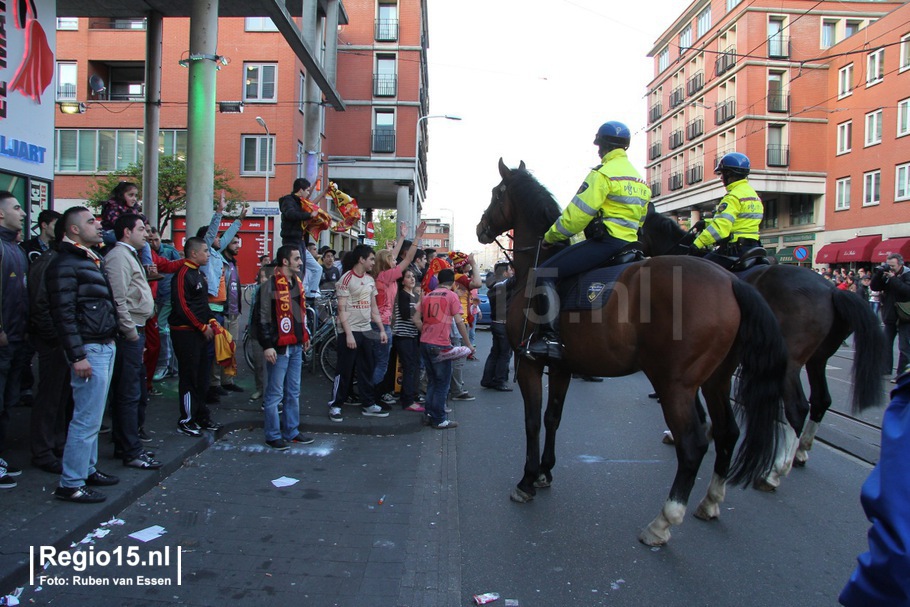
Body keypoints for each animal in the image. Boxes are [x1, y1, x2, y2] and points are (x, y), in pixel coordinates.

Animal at [478, 160, 792, 548]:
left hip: (674, 385)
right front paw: (545, 472)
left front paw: (527, 479)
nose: (480, 227)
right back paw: (710, 501)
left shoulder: (529, 363)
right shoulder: (562, 365)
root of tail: (732, 281)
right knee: (727, 433)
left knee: (693, 445)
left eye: (496, 193)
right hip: (716, 380)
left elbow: (533, 421)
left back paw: (663, 522)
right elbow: (553, 418)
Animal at [636, 209, 888, 490]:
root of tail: (831, 289)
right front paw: (711, 430)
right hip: (817, 359)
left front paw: (693, 428)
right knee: (821, 400)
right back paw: (801, 452)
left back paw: (774, 472)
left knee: (798, 408)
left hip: (791, 363)